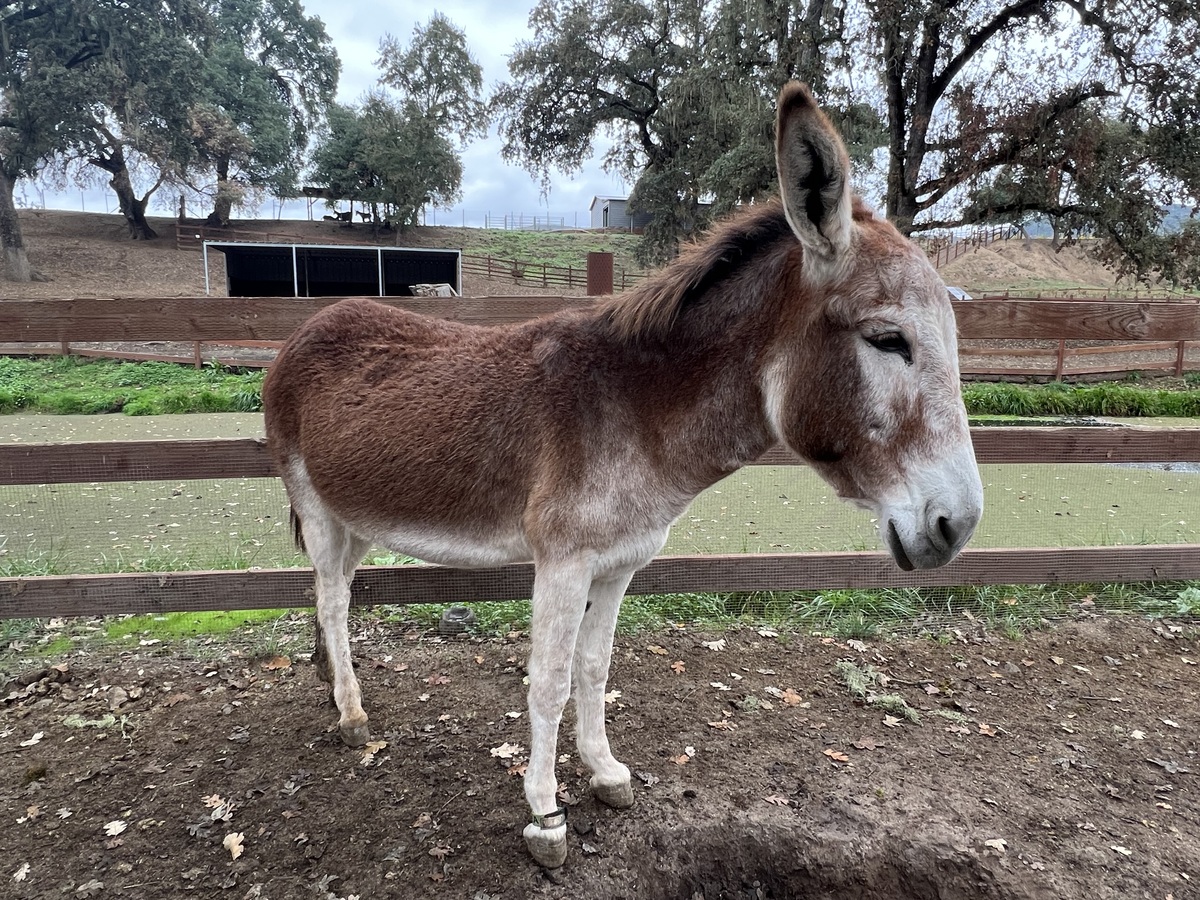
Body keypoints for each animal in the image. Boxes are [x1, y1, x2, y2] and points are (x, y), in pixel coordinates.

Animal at [262, 81, 984, 868]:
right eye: (888, 339)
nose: (958, 525)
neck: (636, 410)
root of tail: (309, 326)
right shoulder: (563, 560)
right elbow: (547, 680)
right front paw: (545, 814)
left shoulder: (618, 564)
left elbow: (595, 667)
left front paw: (604, 772)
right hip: (317, 509)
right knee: (332, 599)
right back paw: (352, 717)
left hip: (357, 514)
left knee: (336, 595)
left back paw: (338, 692)